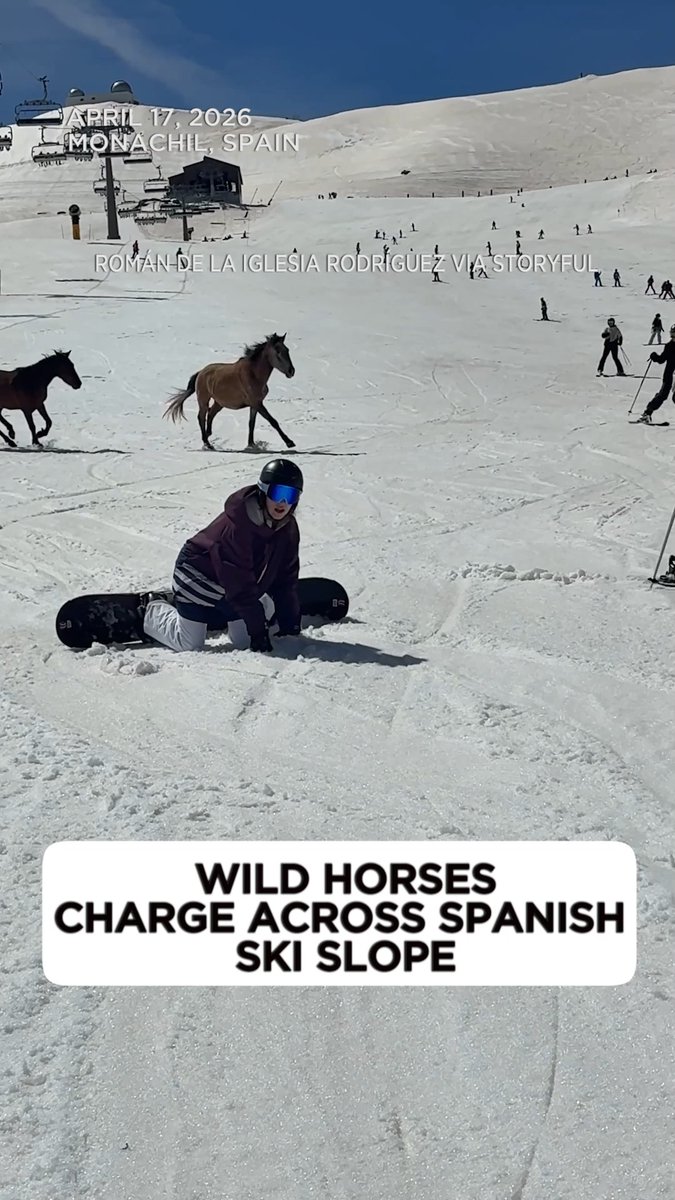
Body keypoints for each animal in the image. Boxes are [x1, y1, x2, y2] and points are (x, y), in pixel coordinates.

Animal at [163, 332, 296, 450]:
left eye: (287, 350)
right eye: (278, 351)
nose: (291, 371)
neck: (253, 374)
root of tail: (200, 372)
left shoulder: (255, 404)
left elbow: (251, 424)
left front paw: (251, 444)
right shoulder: (256, 403)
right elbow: (273, 421)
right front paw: (289, 442)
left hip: (219, 403)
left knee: (210, 414)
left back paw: (208, 434)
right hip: (203, 400)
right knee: (201, 417)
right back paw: (207, 443)